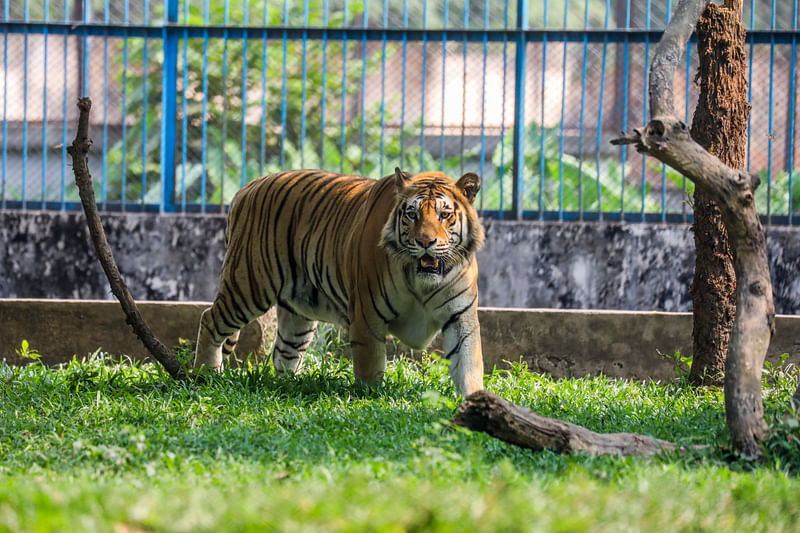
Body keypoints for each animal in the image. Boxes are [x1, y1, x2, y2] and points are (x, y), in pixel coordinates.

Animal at [195, 166, 484, 394]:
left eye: (445, 215)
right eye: (412, 215)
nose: (425, 242)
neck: (421, 280)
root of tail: (247, 187)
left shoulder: (460, 318)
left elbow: (469, 365)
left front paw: (474, 402)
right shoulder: (368, 315)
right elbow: (370, 368)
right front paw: (371, 398)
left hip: (298, 315)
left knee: (283, 351)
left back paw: (288, 386)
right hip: (249, 286)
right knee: (209, 319)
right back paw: (205, 375)